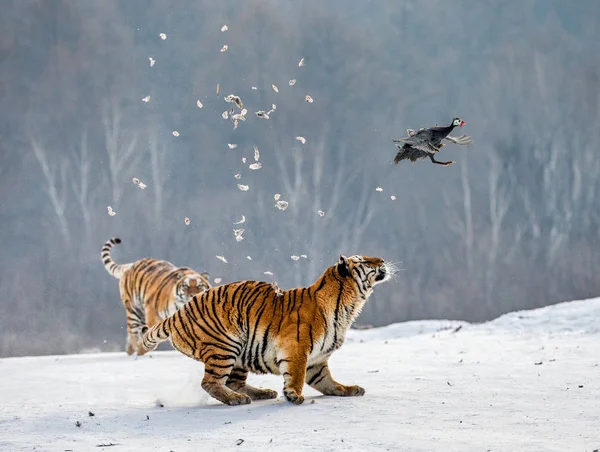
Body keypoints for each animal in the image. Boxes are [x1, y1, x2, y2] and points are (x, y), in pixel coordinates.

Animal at [140, 254, 394, 406]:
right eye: (365, 262)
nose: (382, 260)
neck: (349, 305)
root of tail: (178, 313)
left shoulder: (317, 358)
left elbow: (327, 381)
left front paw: (348, 389)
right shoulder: (297, 348)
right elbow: (297, 375)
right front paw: (294, 395)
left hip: (240, 355)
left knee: (233, 382)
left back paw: (261, 393)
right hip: (225, 345)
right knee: (210, 382)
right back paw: (237, 399)